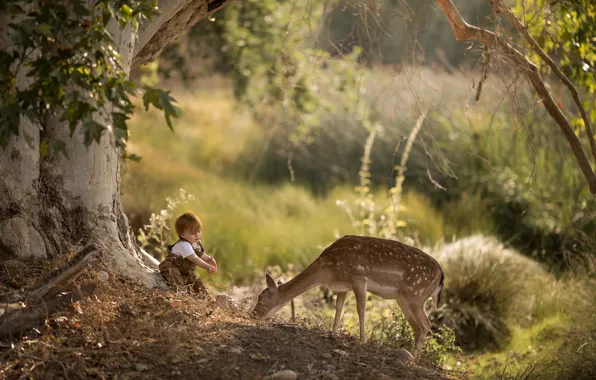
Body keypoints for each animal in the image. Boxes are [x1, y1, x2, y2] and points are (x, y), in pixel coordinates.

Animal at [250, 235, 442, 362]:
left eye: (261, 297)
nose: (253, 315)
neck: (328, 271)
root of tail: (441, 274)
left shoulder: (358, 278)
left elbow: (361, 310)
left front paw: (362, 340)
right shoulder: (343, 287)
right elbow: (338, 307)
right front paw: (332, 334)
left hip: (416, 294)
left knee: (426, 324)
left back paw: (414, 360)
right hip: (403, 299)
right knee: (417, 326)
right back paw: (410, 356)